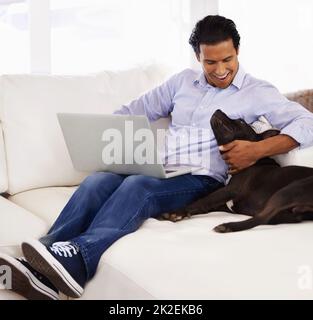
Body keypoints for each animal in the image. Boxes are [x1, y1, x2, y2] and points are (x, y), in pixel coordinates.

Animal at [162, 110, 312, 232]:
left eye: (241, 121)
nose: (218, 109)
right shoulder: (223, 203)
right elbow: (204, 205)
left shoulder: (230, 190)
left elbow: (203, 200)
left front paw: (177, 212)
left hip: (289, 191)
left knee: (262, 218)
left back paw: (228, 226)